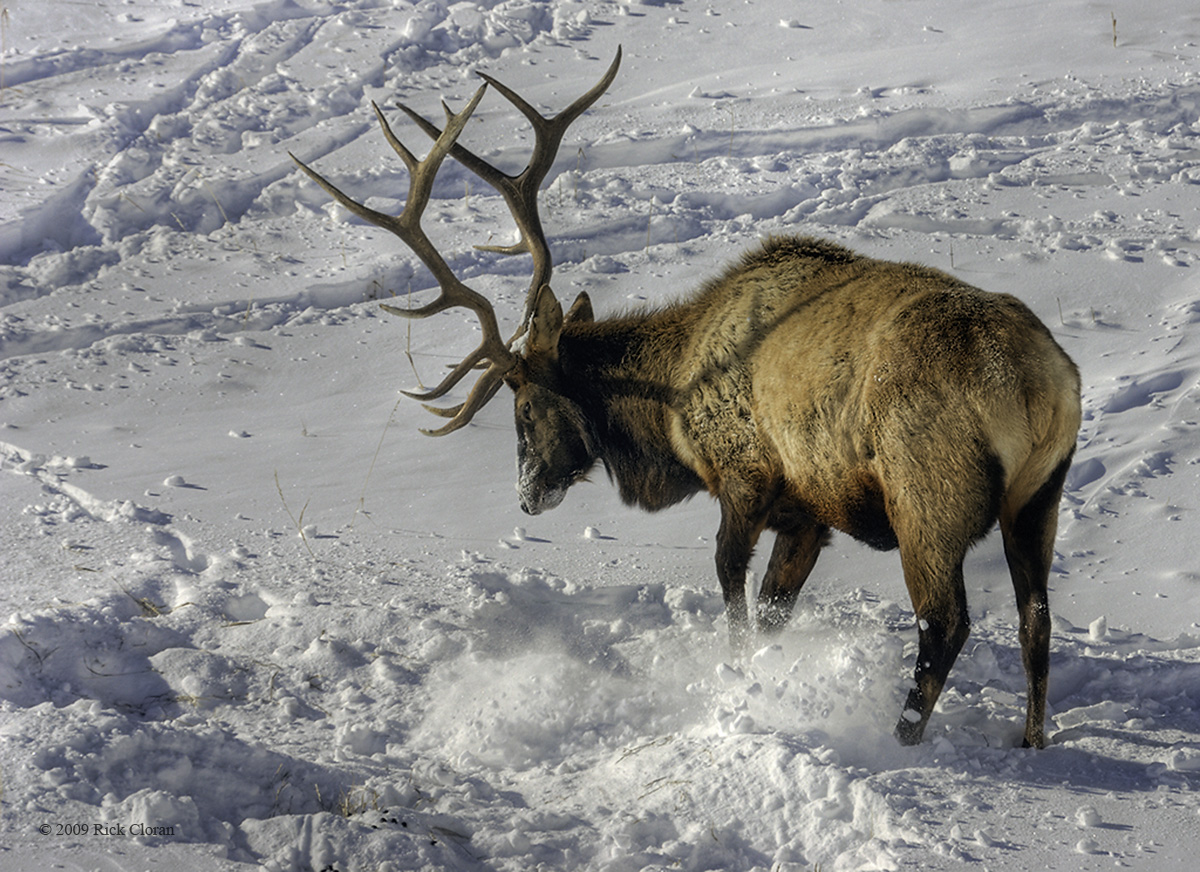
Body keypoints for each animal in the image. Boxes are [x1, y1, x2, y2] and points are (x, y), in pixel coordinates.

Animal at [290, 48, 1081, 749]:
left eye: (524, 406)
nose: (526, 496)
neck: (669, 413)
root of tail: (1041, 386)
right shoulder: (807, 511)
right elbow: (773, 609)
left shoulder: (745, 478)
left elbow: (731, 592)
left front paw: (737, 682)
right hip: (1039, 495)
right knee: (1035, 618)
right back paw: (1032, 740)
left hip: (926, 493)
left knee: (946, 622)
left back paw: (900, 738)